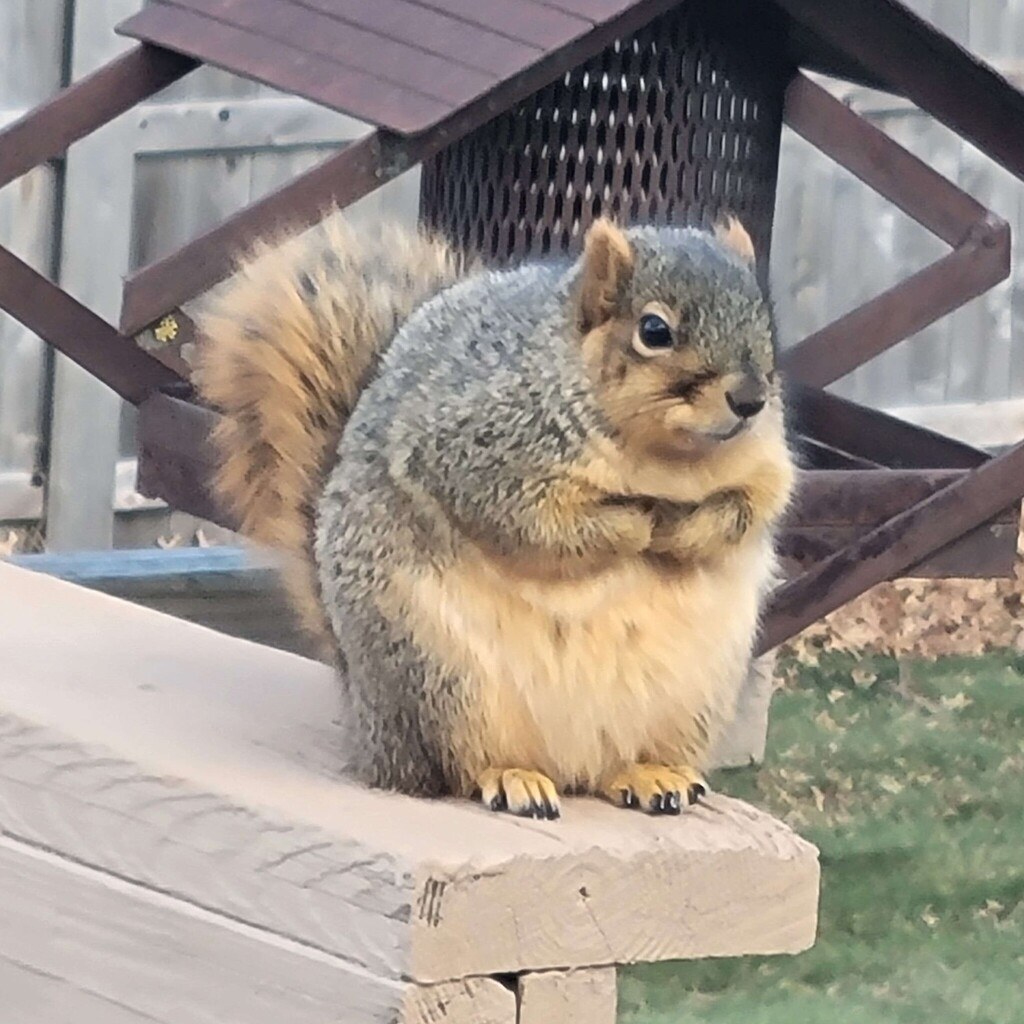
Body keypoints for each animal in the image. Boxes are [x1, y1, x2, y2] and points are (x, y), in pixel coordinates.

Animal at [196, 214, 795, 820]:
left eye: (765, 316)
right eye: (654, 330)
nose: (750, 399)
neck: (668, 460)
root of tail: (370, 725)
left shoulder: (766, 463)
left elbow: (752, 507)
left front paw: (684, 528)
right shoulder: (473, 451)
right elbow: (534, 523)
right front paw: (639, 523)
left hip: (692, 698)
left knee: (614, 767)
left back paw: (650, 774)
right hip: (439, 679)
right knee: (458, 767)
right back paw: (512, 777)